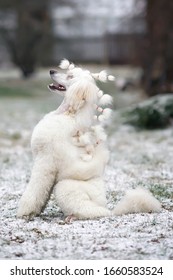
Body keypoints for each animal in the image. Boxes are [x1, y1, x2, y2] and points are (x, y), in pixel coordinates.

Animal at [17, 60, 161, 220]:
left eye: (70, 76)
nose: (51, 71)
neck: (69, 114)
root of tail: (107, 208)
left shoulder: (44, 162)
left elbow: (35, 189)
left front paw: (25, 212)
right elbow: (43, 194)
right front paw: (36, 210)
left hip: (65, 186)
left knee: (90, 210)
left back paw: (73, 217)